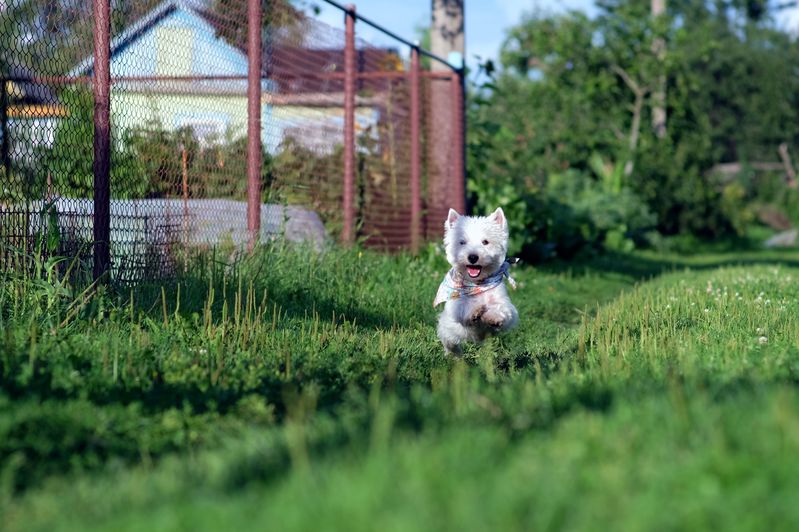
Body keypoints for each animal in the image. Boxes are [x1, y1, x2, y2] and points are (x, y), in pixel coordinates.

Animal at [438, 208, 520, 354]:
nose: (472, 257)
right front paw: (475, 312)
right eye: (462, 242)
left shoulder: (504, 302)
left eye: (485, 242)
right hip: (448, 331)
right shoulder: (456, 305)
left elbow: (503, 309)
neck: (477, 284)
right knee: (450, 343)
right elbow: (464, 308)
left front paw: (493, 317)